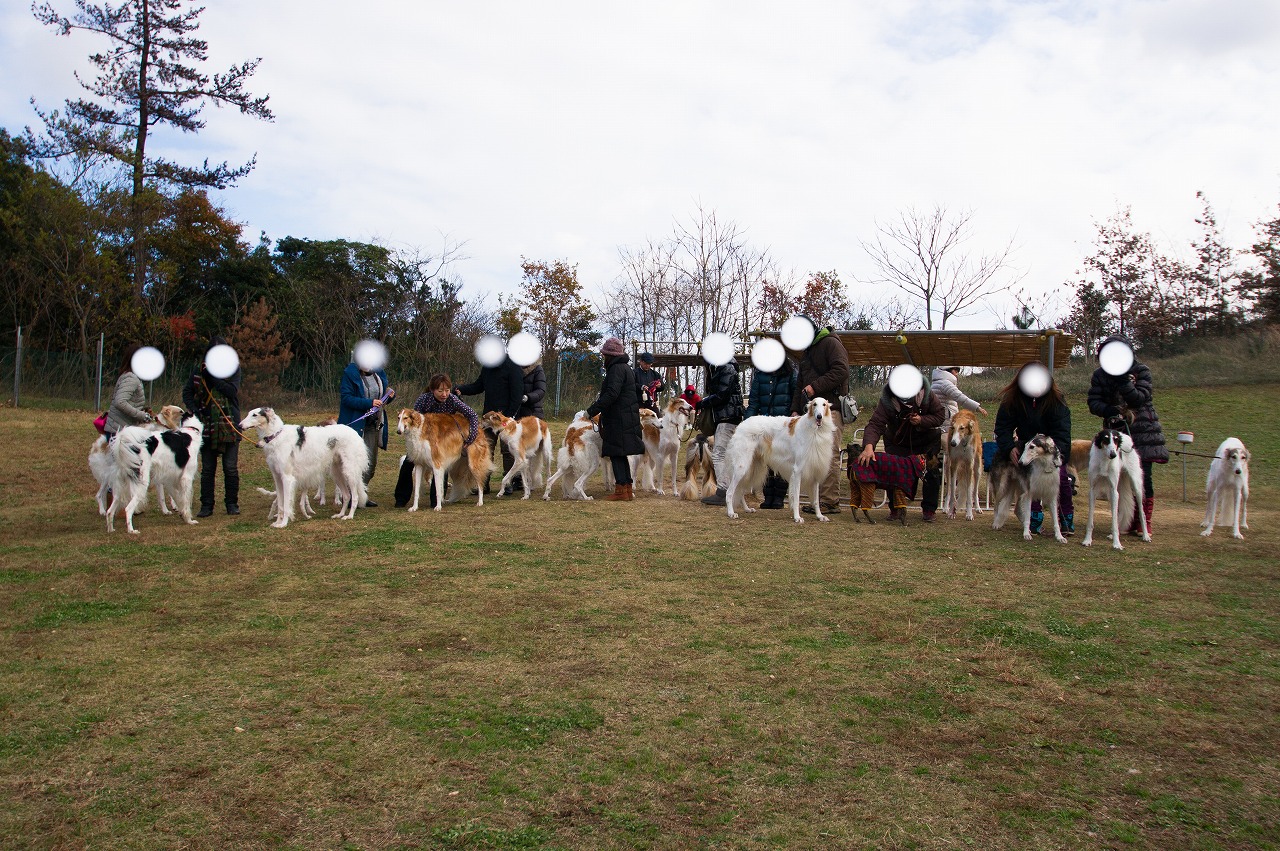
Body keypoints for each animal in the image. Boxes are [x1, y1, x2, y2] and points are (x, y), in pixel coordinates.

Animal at [240, 404, 371, 524]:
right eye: (249, 413)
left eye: (254, 415)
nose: (239, 426)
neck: (276, 435)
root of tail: (354, 432)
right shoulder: (277, 477)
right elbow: (281, 504)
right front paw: (277, 523)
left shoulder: (287, 477)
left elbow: (286, 505)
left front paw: (283, 524)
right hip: (337, 473)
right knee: (347, 495)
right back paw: (340, 514)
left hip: (349, 472)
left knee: (355, 497)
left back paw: (349, 516)